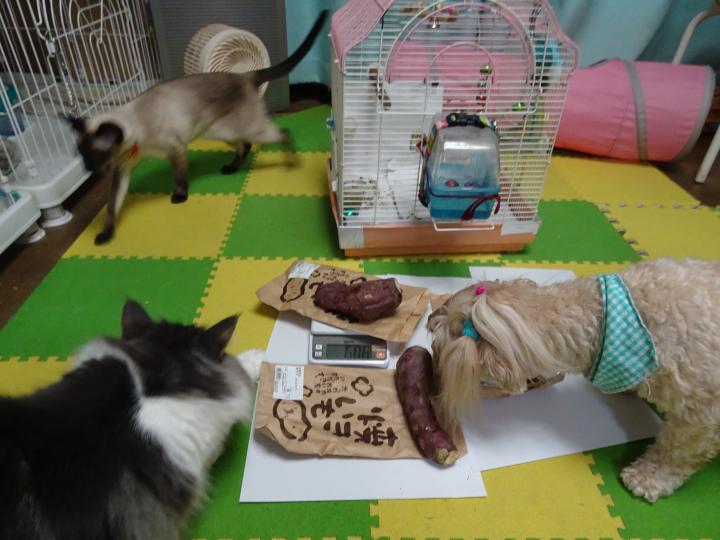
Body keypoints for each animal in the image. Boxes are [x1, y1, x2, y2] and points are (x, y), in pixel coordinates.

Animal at [66, 10, 328, 245]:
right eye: (82, 155)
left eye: (96, 154)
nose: (89, 169)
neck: (136, 131)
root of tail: (245, 76)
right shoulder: (122, 170)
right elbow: (113, 207)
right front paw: (105, 234)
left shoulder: (175, 150)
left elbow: (180, 178)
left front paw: (180, 197)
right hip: (224, 131)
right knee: (245, 145)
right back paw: (231, 168)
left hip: (247, 129)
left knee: (282, 134)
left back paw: (292, 163)